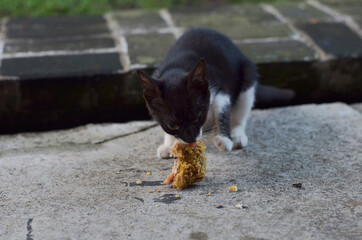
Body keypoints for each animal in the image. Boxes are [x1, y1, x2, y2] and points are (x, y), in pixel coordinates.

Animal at [136, 28, 258, 158]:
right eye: (172, 125)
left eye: (198, 117)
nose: (190, 139)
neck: (176, 68)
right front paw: (168, 145)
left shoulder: (217, 85)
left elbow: (222, 109)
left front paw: (223, 139)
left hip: (248, 76)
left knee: (241, 111)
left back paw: (237, 135)